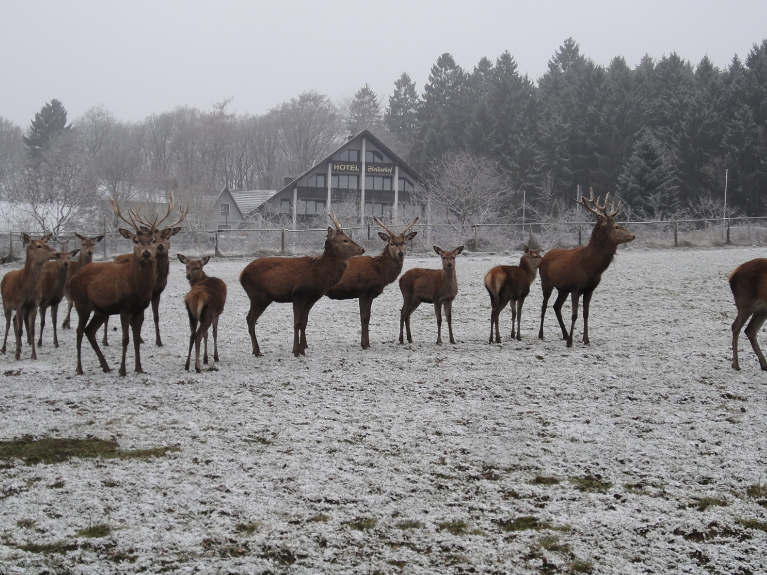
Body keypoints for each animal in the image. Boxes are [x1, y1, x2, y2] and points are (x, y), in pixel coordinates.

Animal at [68, 198, 178, 378]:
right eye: (136, 241)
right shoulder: (124, 306)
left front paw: (139, 368)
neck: (138, 287)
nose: (146, 252)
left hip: (100, 310)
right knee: (79, 331)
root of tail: (73, 277)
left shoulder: (140, 308)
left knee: (89, 331)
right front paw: (122, 370)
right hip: (82, 303)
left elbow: (136, 338)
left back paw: (105, 366)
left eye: (154, 240)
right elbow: (125, 339)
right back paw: (79, 368)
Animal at [101, 200, 187, 348]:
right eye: (155, 239)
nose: (160, 246)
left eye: (167, 237)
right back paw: (105, 340)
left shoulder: (157, 292)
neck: (158, 277)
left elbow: (156, 316)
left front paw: (159, 341)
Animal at [240, 214, 366, 358]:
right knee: (250, 318)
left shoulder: (311, 298)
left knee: (251, 319)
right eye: (344, 240)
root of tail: (241, 275)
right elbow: (297, 323)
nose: (362, 249)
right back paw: (257, 351)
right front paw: (296, 351)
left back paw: (256, 350)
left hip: (265, 298)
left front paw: (302, 349)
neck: (319, 274)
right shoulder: (298, 294)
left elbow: (304, 322)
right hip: (257, 296)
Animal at [326, 216, 420, 348]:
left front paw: (367, 343)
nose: (400, 253)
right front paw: (364, 344)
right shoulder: (363, 291)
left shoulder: (370, 294)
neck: (379, 272)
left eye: (404, 243)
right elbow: (364, 317)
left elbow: (368, 317)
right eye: (391, 243)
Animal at [540, 191, 636, 348]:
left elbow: (586, 314)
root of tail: (544, 256)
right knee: (544, 305)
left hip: (562, 289)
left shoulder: (590, 289)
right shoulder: (575, 287)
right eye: (616, 226)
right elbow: (574, 314)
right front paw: (571, 342)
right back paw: (541, 334)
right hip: (546, 281)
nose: (633, 235)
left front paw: (586, 340)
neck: (592, 269)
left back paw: (564, 334)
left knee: (556, 306)